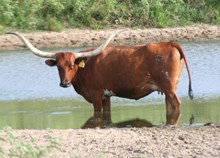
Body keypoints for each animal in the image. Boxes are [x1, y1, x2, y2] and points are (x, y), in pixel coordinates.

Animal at [6, 31, 192, 127]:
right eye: (58, 66)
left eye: (72, 65)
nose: (64, 83)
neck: (86, 67)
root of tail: (169, 43)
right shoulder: (106, 96)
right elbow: (107, 113)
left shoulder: (96, 95)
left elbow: (98, 115)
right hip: (169, 88)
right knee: (170, 106)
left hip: (169, 88)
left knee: (177, 104)